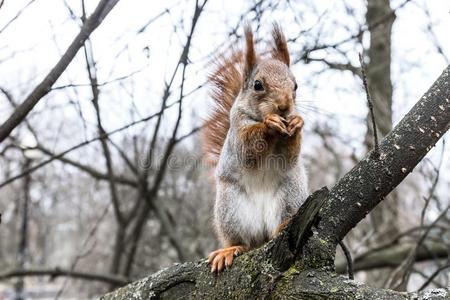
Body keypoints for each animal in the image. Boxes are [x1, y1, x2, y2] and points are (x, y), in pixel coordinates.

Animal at [202, 24, 308, 274]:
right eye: (257, 85)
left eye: (296, 85)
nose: (284, 106)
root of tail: (262, 236)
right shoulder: (238, 129)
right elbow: (248, 148)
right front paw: (269, 124)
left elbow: (290, 156)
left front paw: (296, 123)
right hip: (231, 209)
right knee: (243, 242)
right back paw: (231, 249)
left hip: (290, 196)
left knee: (279, 225)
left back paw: (284, 225)